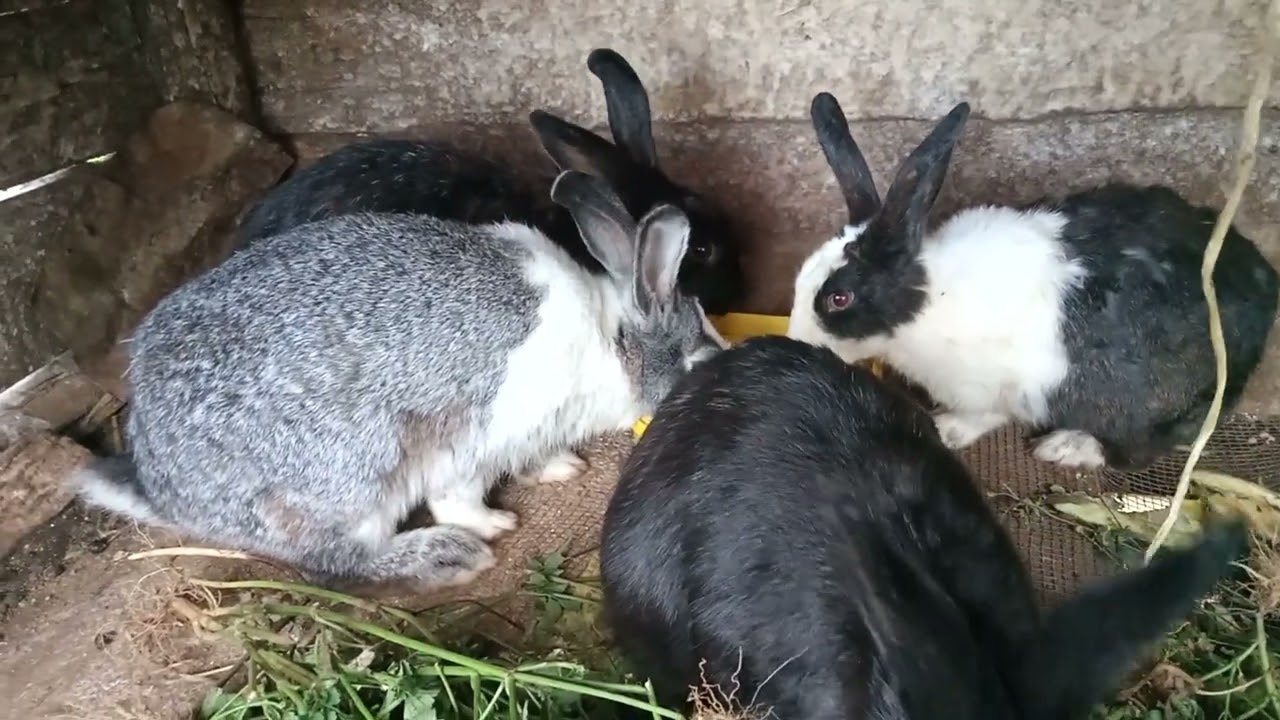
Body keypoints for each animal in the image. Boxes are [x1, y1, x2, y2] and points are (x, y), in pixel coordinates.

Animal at [70, 169, 726, 590]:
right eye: (698, 355)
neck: (609, 339)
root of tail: (163, 486)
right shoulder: (476, 443)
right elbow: (457, 497)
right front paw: (496, 524)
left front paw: (558, 467)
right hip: (350, 481)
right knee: (336, 563)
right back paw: (447, 558)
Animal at [788, 91, 1280, 471]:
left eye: (838, 298)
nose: (797, 343)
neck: (928, 300)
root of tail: (1263, 288)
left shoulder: (998, 388)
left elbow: (985, 415)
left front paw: (946, 428)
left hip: (1155, 405)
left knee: (1145, 448)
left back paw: (1066, 447)